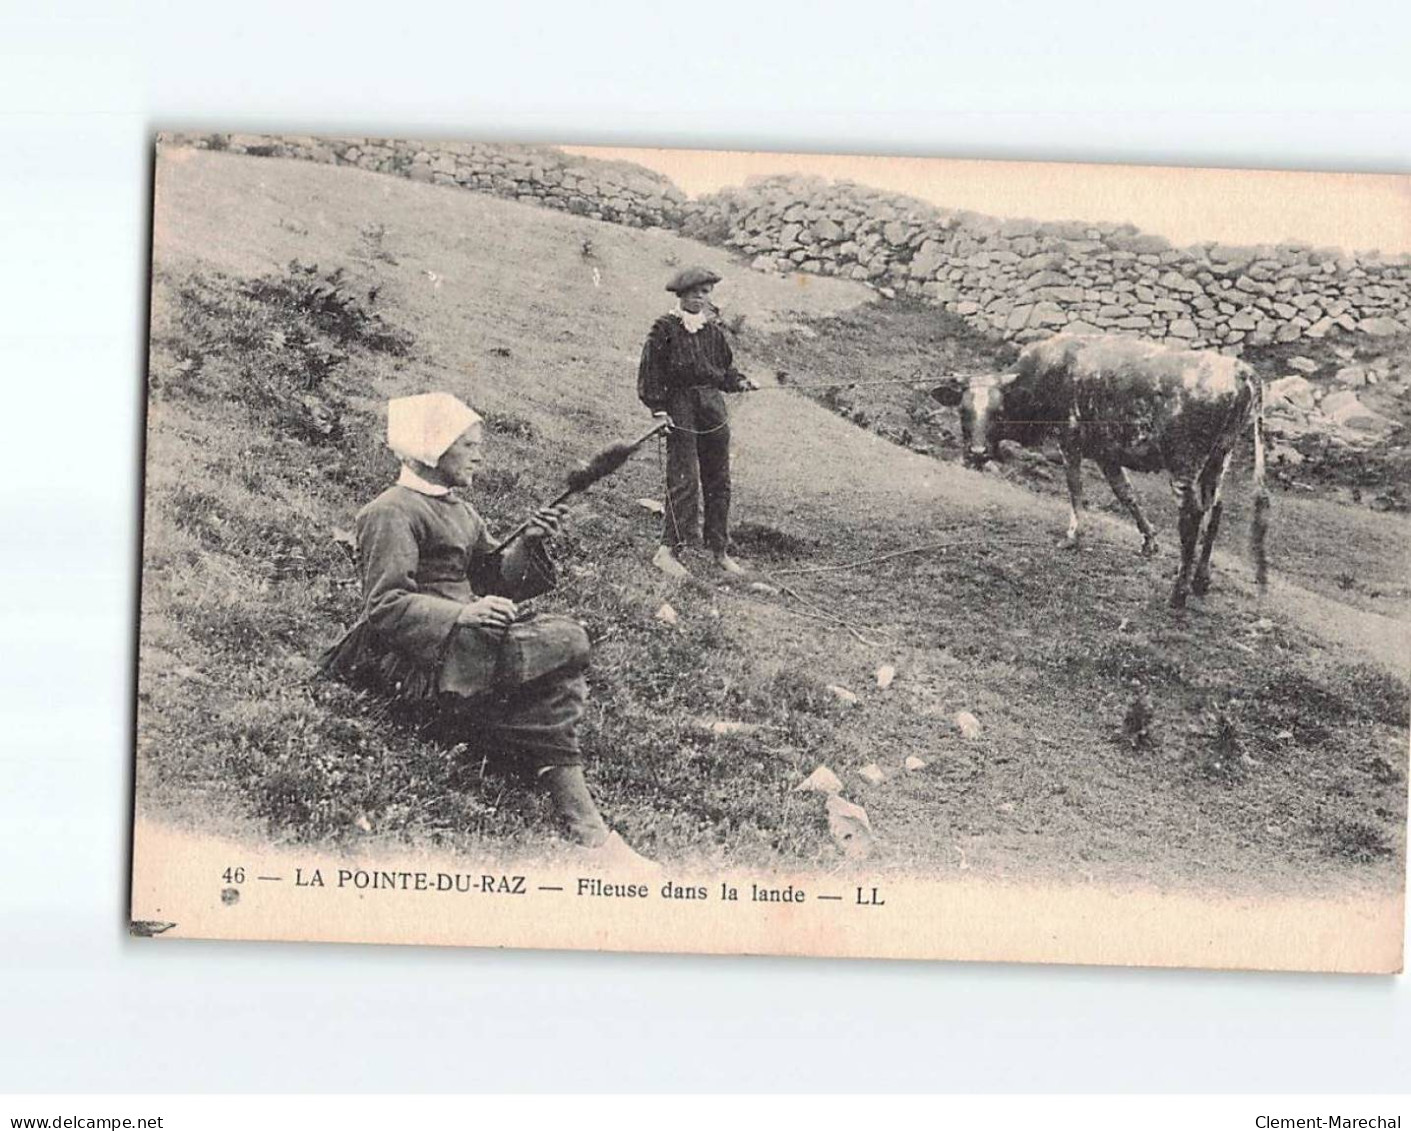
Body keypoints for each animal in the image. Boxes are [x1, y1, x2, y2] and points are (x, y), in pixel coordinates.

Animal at [931, 329, 1275, 603]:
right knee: (1216, 510)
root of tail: (1241, 370)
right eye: (963, 410)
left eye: (999, 411)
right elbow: (1126, 494)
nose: (977, 452)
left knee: (1192, 517)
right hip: (1219, 458)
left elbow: (1075, 490)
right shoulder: (1106, 453)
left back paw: (1178, 592)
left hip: (1185, 463)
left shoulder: (1069, 441)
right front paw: (1149, 541)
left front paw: (1072, 537)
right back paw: (1201, 580)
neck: (1050, 373)